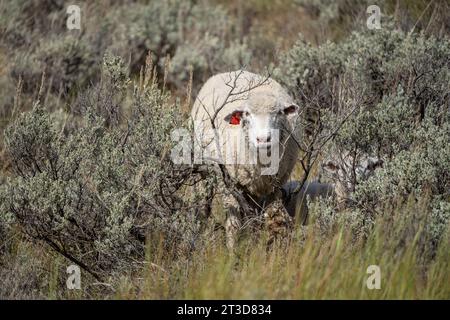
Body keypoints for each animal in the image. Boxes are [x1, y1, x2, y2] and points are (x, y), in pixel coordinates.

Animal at [191, 70, 300, 248]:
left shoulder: (275, 187)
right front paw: (231, 249)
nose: (263, 139)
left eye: (278, 113)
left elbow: (267, 218)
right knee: (203, 207)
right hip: (202, 171)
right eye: (247, 114)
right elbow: (233, 223)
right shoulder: (228, 183)